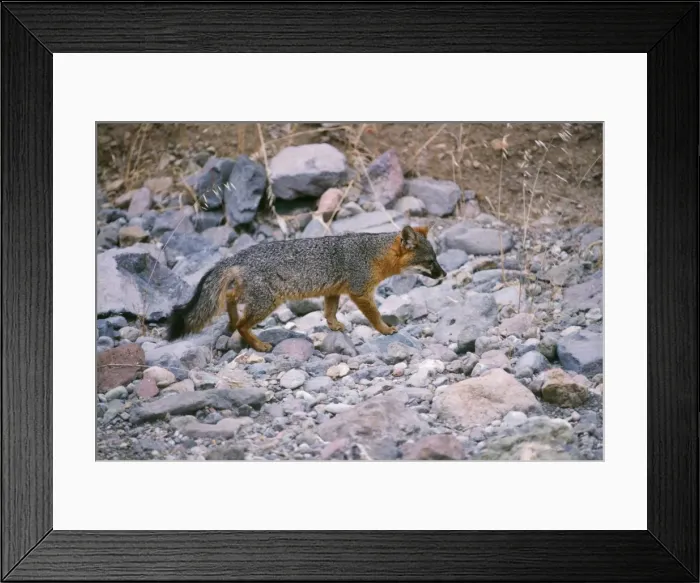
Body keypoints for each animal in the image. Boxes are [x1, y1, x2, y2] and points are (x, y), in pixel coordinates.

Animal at [166, 224, 446, 352]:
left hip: (253, 296)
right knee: (244, 325)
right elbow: (374, 315)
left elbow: (329, 311)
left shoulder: (333, 290)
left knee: (231, 299)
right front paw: (386, 329)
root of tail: (238, 256)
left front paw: (334, 326)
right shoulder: (360, 291)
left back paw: (232, 321)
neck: (372, 254)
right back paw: (258, 345)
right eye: (430, 262)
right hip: (267, 302)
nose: (444, 274)